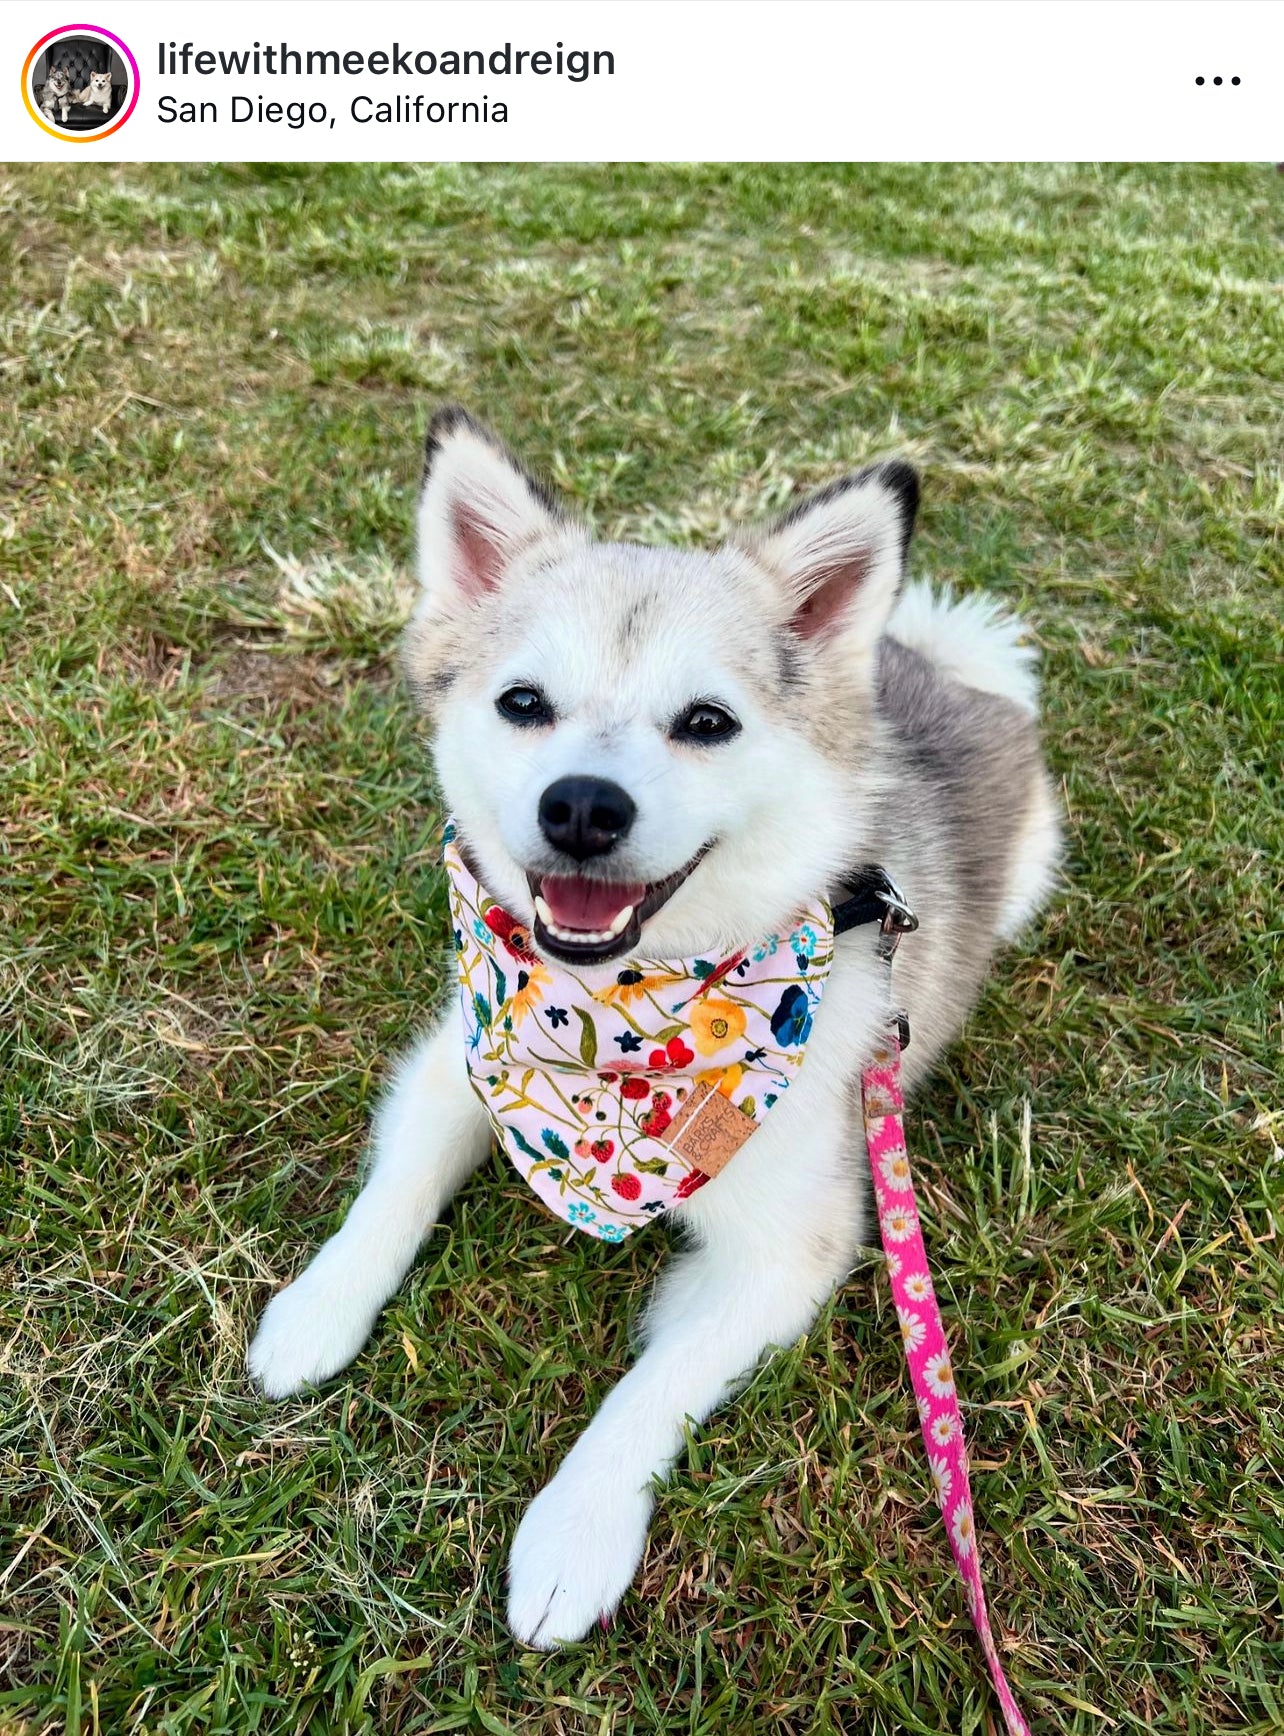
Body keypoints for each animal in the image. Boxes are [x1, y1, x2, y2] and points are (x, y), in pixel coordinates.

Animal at [246, 406, 1054, 1638]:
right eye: (523, 703)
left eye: (707, 722)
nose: (582, 806)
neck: (619, 1026)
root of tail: (932, 663)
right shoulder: (464, 1057)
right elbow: (393, 1192)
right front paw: (317, 1307)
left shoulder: (787, 1250)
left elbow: (650, 1392)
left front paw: (572, 1540)